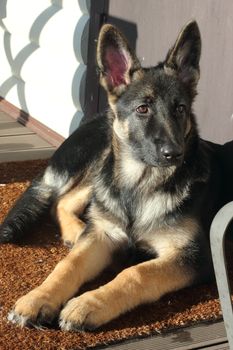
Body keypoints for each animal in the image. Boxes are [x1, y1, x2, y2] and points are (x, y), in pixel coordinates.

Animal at [0, 20, 226, 330]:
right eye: (143, 109)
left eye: (180, 109)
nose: (175, 154)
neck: (141, 185)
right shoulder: (102, 235)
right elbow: (68, 265)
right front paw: (38, 298)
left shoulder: (194, 256)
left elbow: (137, 272)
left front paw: (87, 303)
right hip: (102, 161)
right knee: (64, 201)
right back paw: (77, 232)